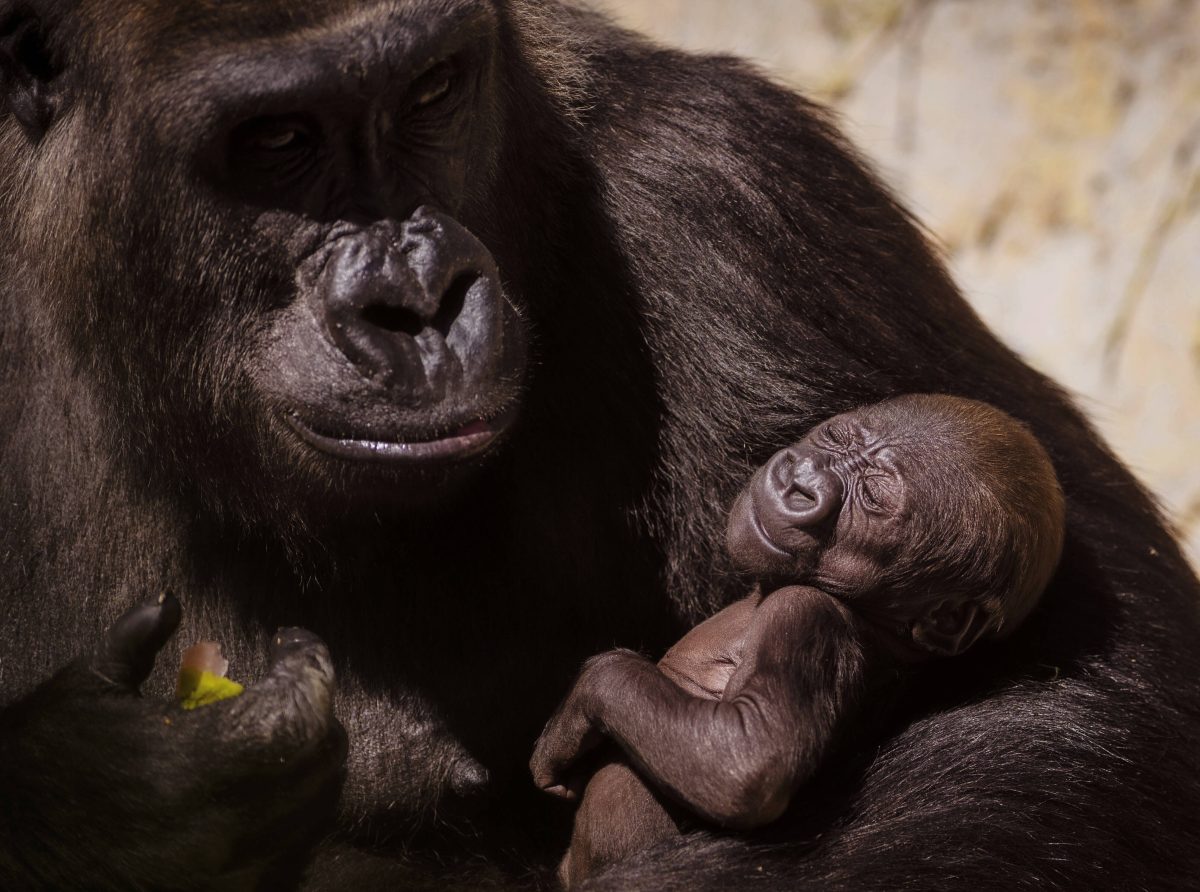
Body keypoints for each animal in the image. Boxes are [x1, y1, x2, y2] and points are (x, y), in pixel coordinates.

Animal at [530, 393, 1065, 888]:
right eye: (836, 439)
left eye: (872, 498)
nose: (800, 480)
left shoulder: (807, 614)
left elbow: (749, 762)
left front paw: (580, 704)